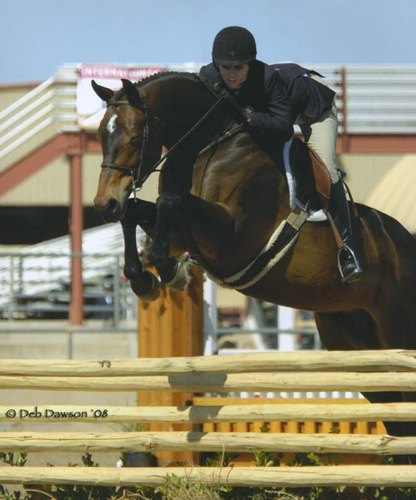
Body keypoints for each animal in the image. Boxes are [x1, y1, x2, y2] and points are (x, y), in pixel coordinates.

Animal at [92, 73, 416, 460]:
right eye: (101, 135)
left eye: (133, 137)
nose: (104, 204)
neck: (208, 145)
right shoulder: (186, 234)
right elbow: (137, 212)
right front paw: (146, 280)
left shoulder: (230, 239)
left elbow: (170, 202)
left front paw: (170, 273)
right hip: (356, 344)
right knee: (397, 414)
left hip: (398, 329)